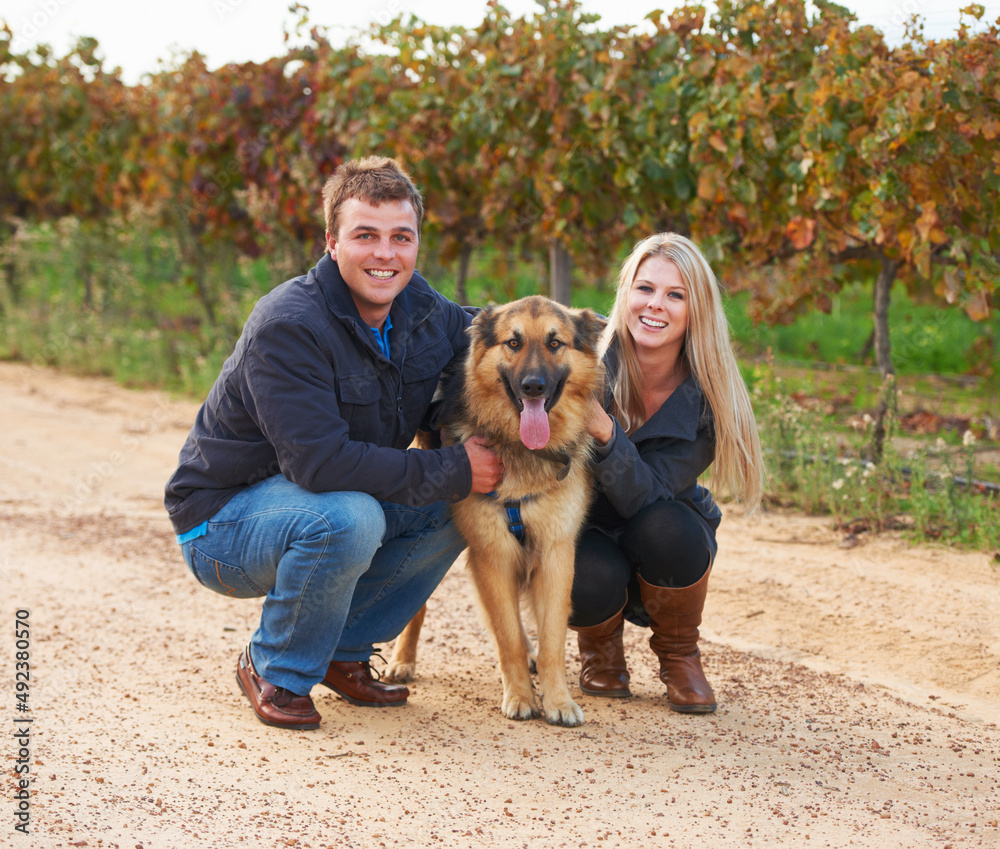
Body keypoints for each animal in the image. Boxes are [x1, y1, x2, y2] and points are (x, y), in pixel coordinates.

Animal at [384, 294, 600, 724]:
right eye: (513, 343)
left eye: (555, 343)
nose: (533, 386)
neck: (520, 450)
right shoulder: (493, 555)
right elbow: (508, 636)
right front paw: (520, 697)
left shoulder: (555, 554)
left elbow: (551, 638)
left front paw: (558, 700)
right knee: (417, 607)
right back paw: (403, 660)